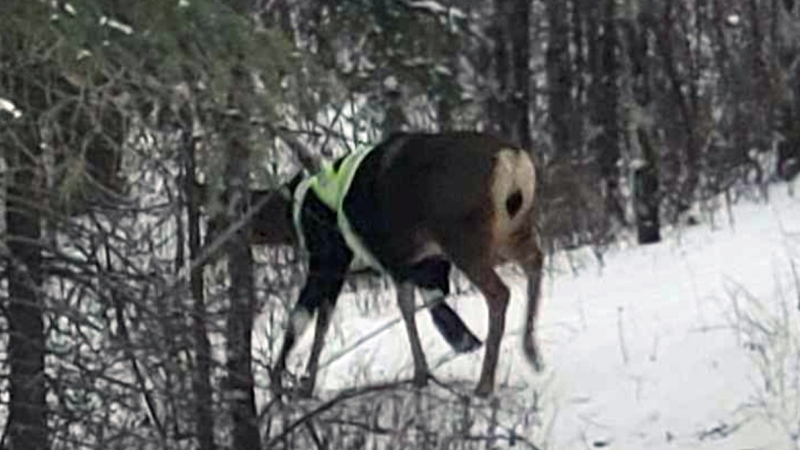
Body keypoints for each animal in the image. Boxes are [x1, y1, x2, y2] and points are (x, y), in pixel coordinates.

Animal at [231, 131, 544, 398]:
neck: (300, 210)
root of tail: (513, 160)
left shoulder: (332, 259)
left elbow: (303, 318)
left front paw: (284, 384)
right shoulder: (414, 263)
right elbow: (406, 307)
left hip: (463, 236)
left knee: (499, 292)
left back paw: (485, 384)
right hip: (512, 230)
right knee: (535, 261)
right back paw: (531, 353)